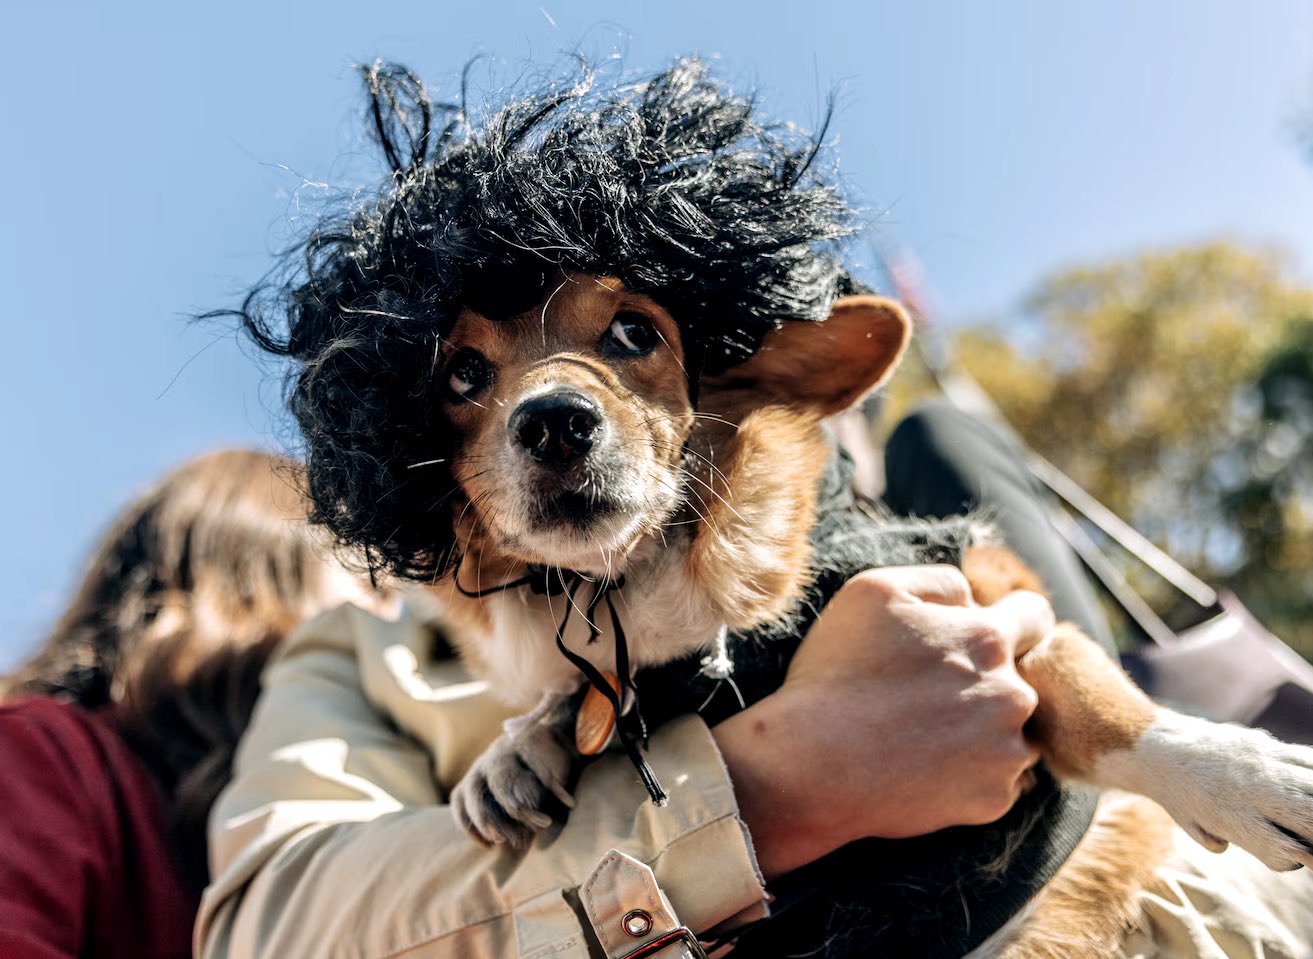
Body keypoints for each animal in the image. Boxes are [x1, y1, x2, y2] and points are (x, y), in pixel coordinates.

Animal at [435, 269, 1307, 956]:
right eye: (461, 374)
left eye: (633, 331)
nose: (552, 421)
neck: (662, 598)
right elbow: (587, 700)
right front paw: (514, 752)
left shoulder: (993, 594)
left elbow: (1101, 705)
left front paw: (1238, 773)